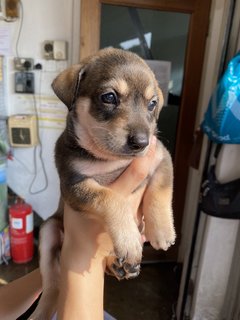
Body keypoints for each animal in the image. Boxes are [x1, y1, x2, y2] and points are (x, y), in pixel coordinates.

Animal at [31, 48, 175, 320]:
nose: (142, 142)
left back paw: (119, 265)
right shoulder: (74, 184)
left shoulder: (161, 158)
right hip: (48, 231)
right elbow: (110, 198)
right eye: (109, 97)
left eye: (152, 104)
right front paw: (129, 239)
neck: (110, 159)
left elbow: (160, 193)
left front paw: (161, 231)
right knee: (52, 284)